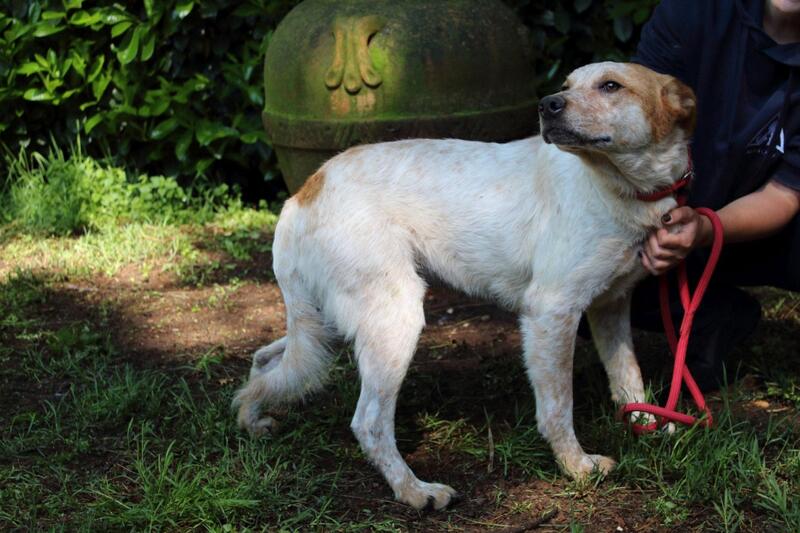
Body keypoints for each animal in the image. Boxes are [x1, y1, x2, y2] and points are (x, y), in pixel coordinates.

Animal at [233, 62, 696, 510]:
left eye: (611, 86)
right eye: (566, 85)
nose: (547, 105)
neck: (619, 189)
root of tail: (304, 193)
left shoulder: (611, 306)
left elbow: (628, 376)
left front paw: (649, 424)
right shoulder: (551, 311)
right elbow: (557, 407)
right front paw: (576, 466)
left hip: (327, 322)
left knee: (266, 359)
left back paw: (252, 418)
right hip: (393, 320)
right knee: (368, 422)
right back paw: (415, 492)